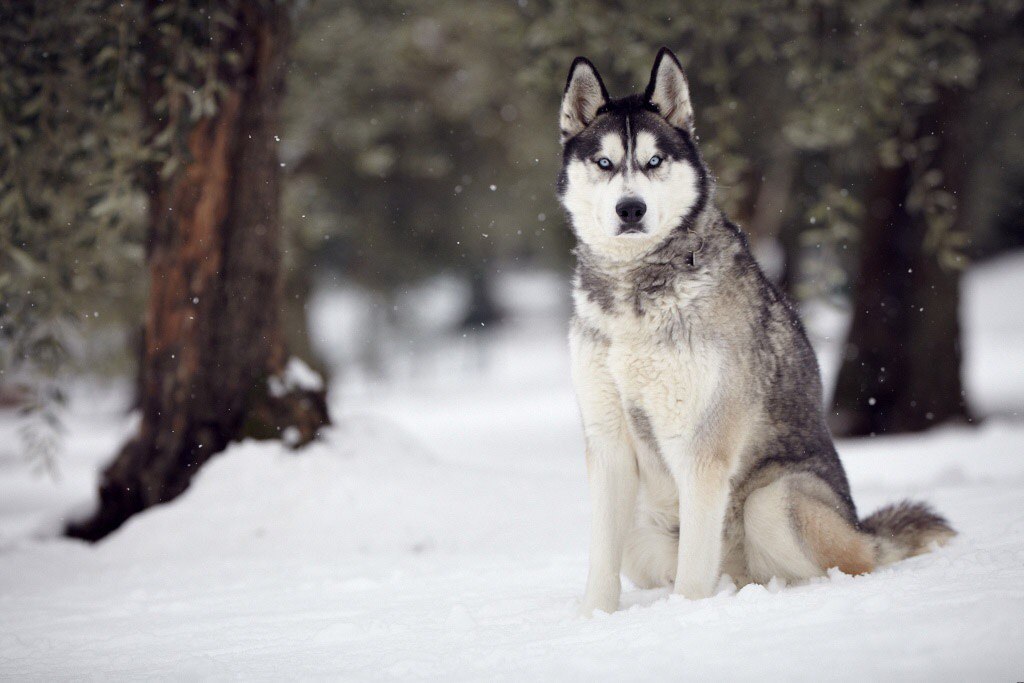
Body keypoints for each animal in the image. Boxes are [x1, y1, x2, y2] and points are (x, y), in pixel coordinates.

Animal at [557, 45, 954, 618]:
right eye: (604, 163)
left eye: (654, 161)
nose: (630, 208)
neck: (636, 291)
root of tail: (863, 528)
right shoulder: (607, 441)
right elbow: (601, 570)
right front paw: (594, 620)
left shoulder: (703, 449)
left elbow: (692, 576)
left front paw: (685, 616)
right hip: (643, 530)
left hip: (774, 501)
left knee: (847, 562)